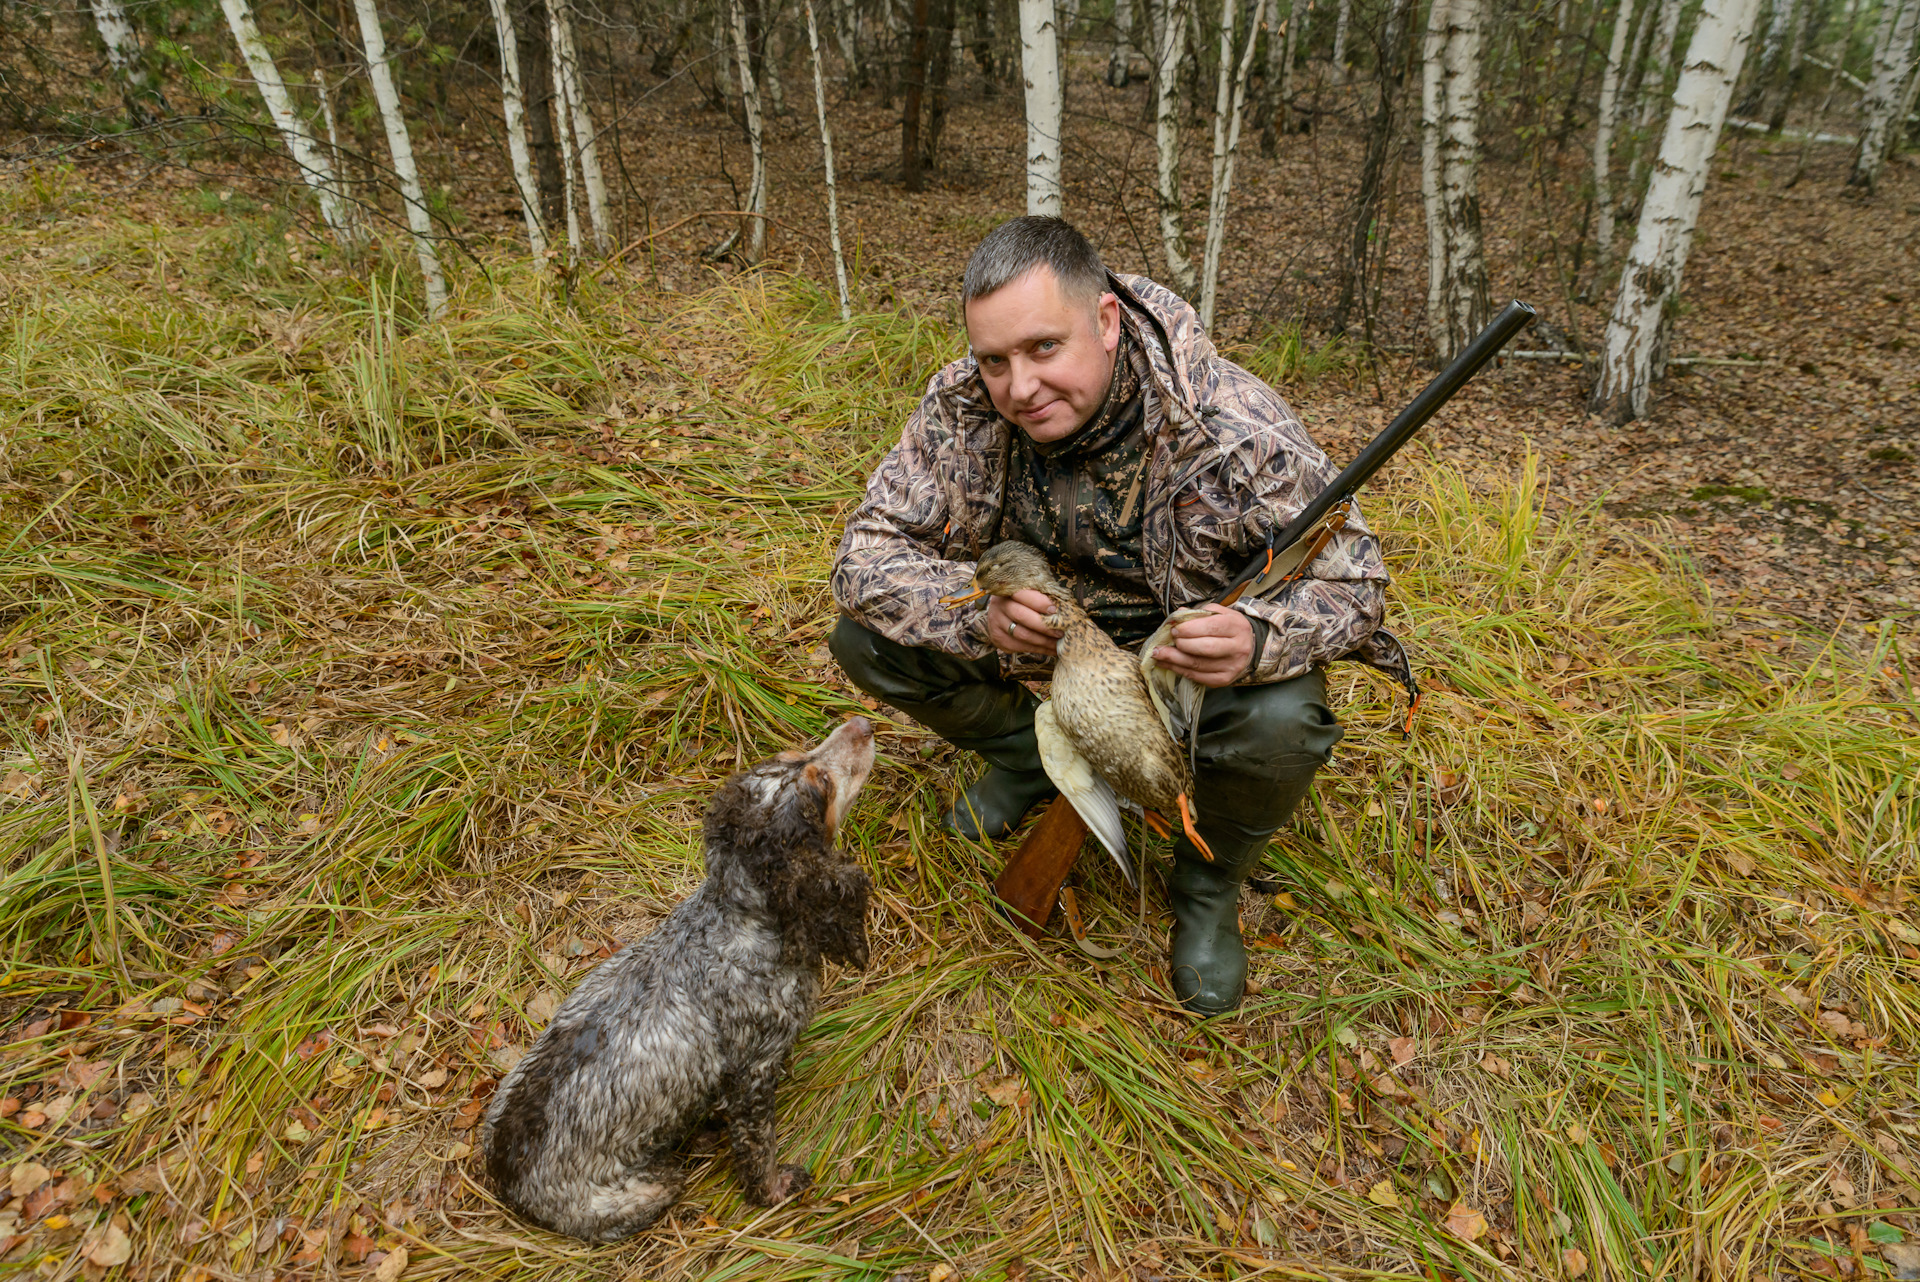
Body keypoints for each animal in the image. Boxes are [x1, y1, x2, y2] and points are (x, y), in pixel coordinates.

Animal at [480, 717, 879, 1235]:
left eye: (795, 753)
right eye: (823, 783)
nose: (863, 723)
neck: (737, 921)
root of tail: (506, 1180)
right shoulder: (754, 1070)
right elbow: (758, 1148)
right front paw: (772, 1189)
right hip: (645, 1189)